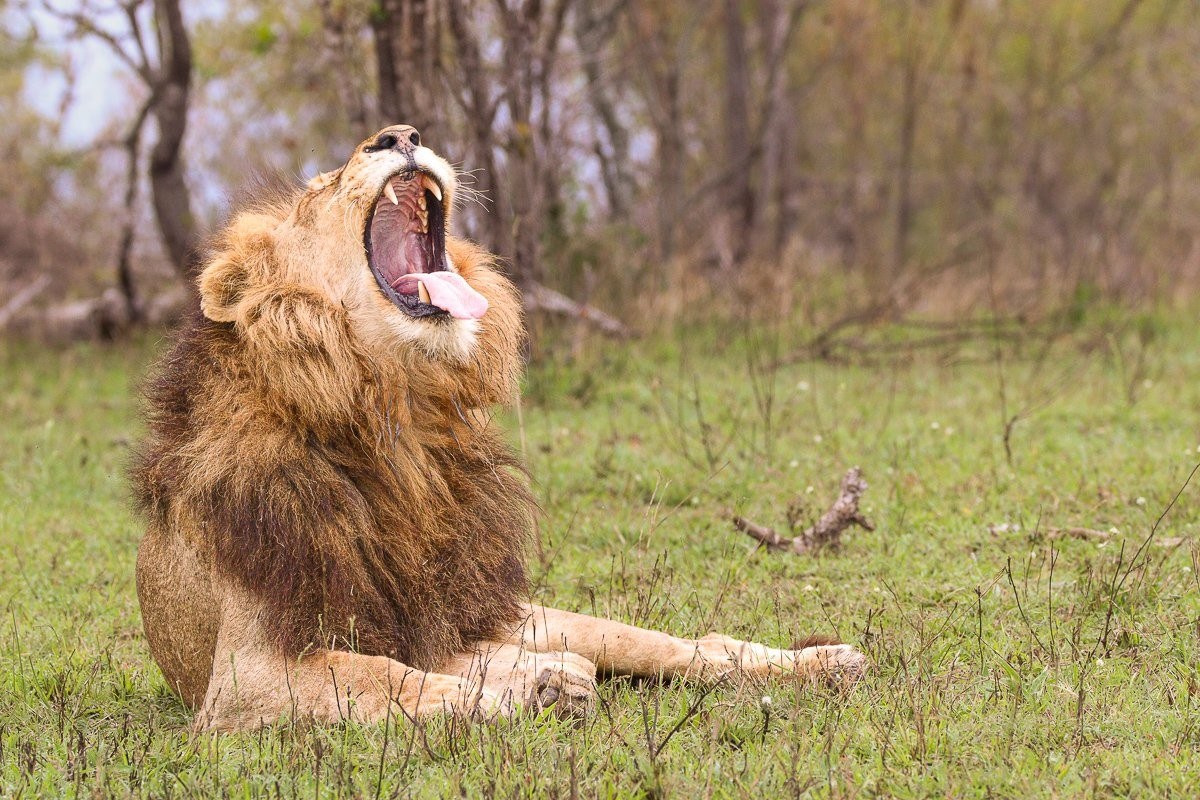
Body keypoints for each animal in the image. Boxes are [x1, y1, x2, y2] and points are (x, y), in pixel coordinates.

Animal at [130, 124, 866, 731]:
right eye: (319, 191)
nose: (401, 135)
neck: (398, 412)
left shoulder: (444, 616)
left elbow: (399, 673)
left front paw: (532, 689)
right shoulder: (240, 678)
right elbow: (385, 677)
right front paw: (524, 694)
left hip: (530, 614)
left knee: (674, 645)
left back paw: (821, 663)